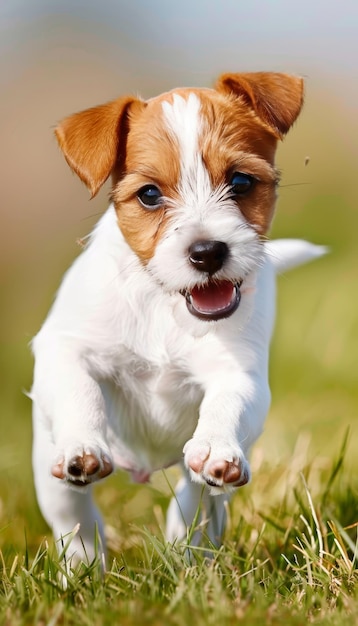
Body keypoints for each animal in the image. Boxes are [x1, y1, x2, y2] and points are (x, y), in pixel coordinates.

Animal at [32, 70, 326, 564]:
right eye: (150, 195)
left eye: (240, 181)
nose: (207, 252)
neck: (166, 307)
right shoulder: (66, 346)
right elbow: (80, 391)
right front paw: (83, 444)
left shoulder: (238, 373)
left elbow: (227, 406)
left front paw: (217, 449)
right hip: (50, 483)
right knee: (78, 522)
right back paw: (84, 569)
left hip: (200, 495)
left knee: (193, 507)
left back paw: (189, 557)